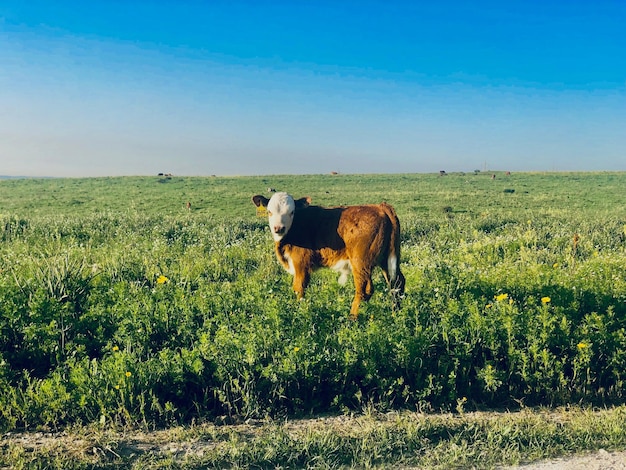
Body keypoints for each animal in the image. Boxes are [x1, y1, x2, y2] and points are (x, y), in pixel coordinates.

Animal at [251, 192, 408, 320]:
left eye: (292, 212)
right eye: (269, 211)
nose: (278, 228)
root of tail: (380, 207)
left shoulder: (301, 264)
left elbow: (299, 288)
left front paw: (298, 312)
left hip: (361, 263)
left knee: (364, 289)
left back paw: (351, 319)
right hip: (386, 260)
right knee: (397, 282)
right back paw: (396, 313)